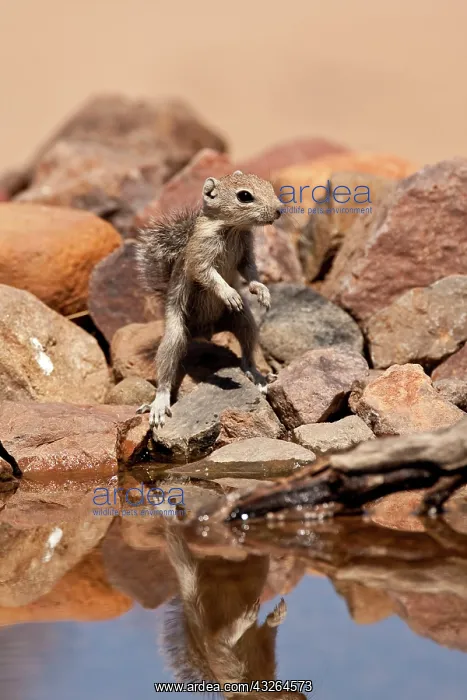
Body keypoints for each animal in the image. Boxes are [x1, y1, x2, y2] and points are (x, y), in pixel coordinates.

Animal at [135, 170, 282, 429]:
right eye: (244, 196)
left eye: (268, 185)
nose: (279, 210)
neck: (232, 228)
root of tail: (203, 332)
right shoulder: (200, 255)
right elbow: (207, 275)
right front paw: (229, 293)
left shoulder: (246, 252)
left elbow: (250, 272)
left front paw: (262, 290)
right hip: (175, 335)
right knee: (166, 369)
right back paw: (159, 404)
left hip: (244, 322)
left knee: (247, 353)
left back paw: (257, 376)